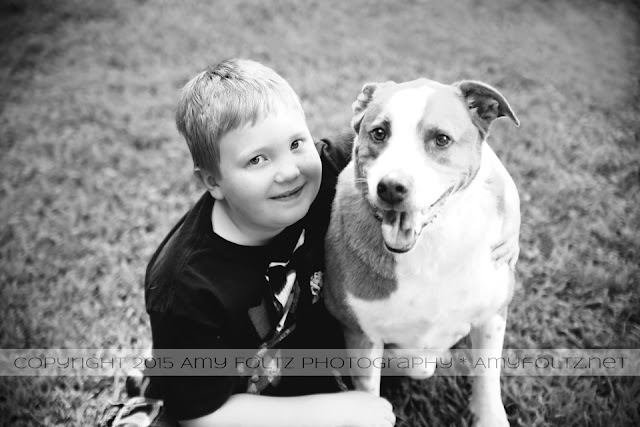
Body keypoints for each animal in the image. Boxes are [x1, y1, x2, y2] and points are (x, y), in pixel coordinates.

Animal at [324, 77, 520, 427]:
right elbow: (368, 398)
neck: (430, 245)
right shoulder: (362, 336)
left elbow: (487, 379)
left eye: (441, 139)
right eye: (379, 133)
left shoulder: (491, 316)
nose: (391, 187)